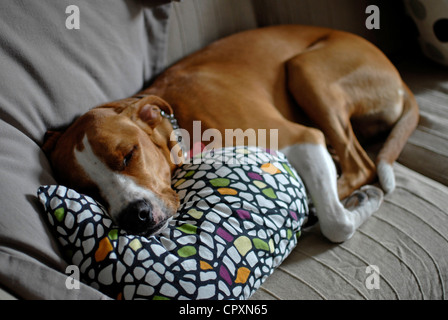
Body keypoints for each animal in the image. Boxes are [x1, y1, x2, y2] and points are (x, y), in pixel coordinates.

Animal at [43, 25, 420, 242]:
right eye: (85, 190)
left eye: (128, 155)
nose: (135, 216)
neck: (184, 124)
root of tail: (400, 79)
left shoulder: (301, 137)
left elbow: (337, 225)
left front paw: (356, 206)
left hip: (305, 68)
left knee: (361, 164)